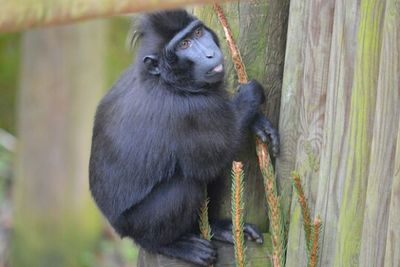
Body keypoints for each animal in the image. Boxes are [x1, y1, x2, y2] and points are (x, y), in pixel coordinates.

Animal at [89, 9, 280, 266]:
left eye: (197, 33)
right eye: (184, 45)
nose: (210, 53)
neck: (165, 80)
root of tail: (115, 225)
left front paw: (259, 122)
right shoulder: (189, 112)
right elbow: (221, 148)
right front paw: (250, 100)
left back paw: (219, 229)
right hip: (136, 225)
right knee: (186, 183)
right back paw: (173, 245)